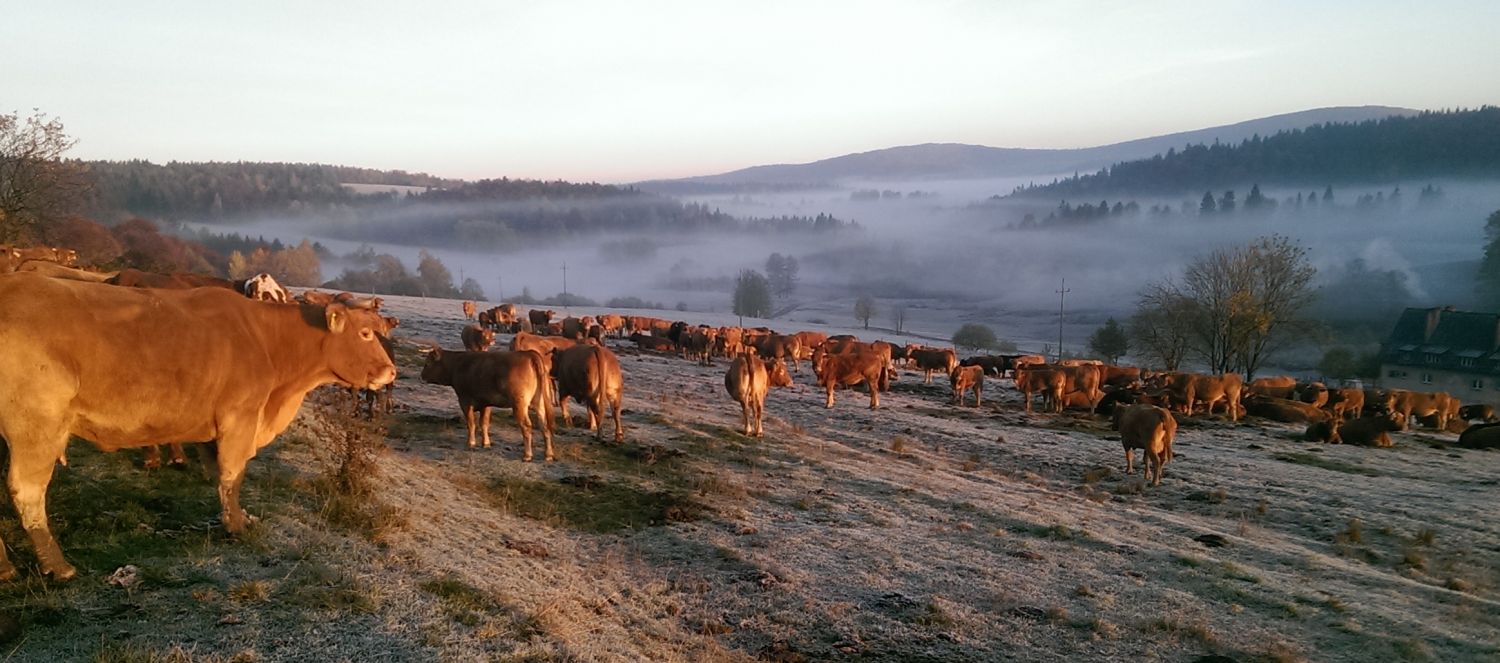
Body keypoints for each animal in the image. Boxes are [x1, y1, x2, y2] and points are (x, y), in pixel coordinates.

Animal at [0, 271, 396, 579]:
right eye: (365, 333)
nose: (391, 371)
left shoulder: (214, 428)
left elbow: (219, 476)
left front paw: (234, 517)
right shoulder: (240, 417)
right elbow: (233, 475)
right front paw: (236, 526)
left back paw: (6, 569)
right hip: (37, 427)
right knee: (28, 492)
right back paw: (58, 566)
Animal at [420, 346, 555, 462]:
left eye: (427, 363)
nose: (421, 375)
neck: (457, 364)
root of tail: (529, 354)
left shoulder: (465, 401)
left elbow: (471, 423)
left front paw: (471, 443)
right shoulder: (486, 403)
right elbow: (484, 423)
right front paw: (486, 443)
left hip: (519, 405)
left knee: (526, 426)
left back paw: (527, 455)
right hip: (539, 404)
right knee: (544, 425)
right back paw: (548, 454)